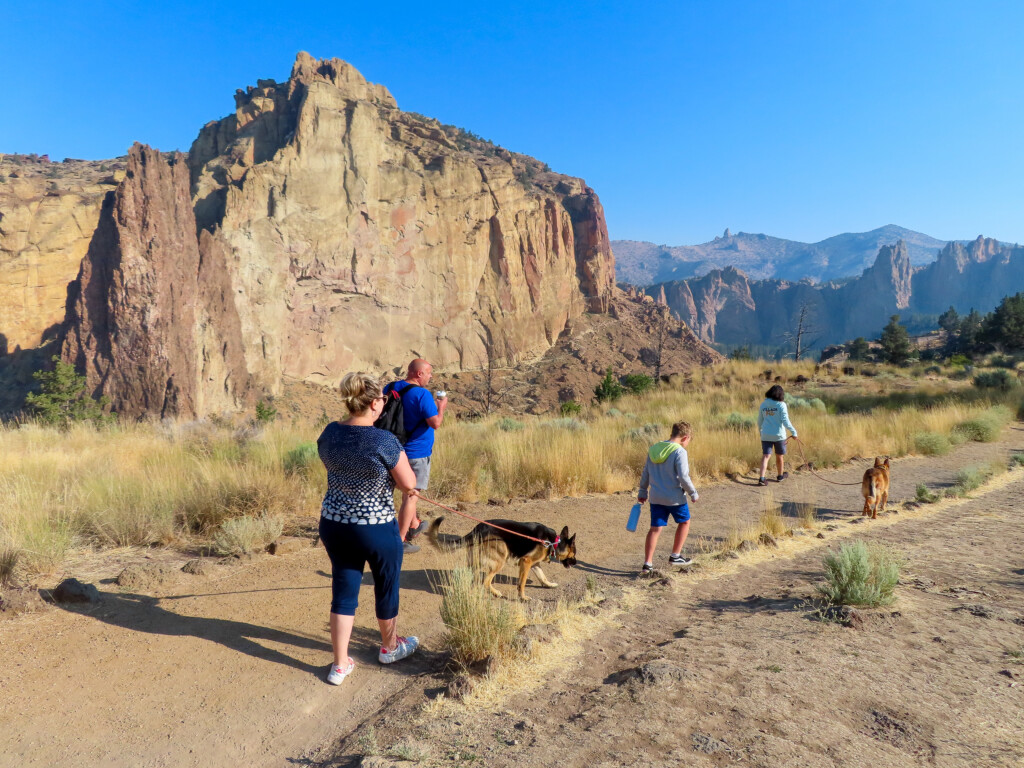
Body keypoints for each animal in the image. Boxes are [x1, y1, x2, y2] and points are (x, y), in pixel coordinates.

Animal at [425, 518, 577, 602]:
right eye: (574, 554)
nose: (576, 563)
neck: (553, 542)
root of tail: (478, 529)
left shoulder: (534, 564)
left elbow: (542, 576)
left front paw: (549, 585)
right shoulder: (526, 562)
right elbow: (521, 583)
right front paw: (522, 597)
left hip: (475, 563)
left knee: (472, 578)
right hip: (499, 561)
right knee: (485, 582)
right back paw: (495, 593)